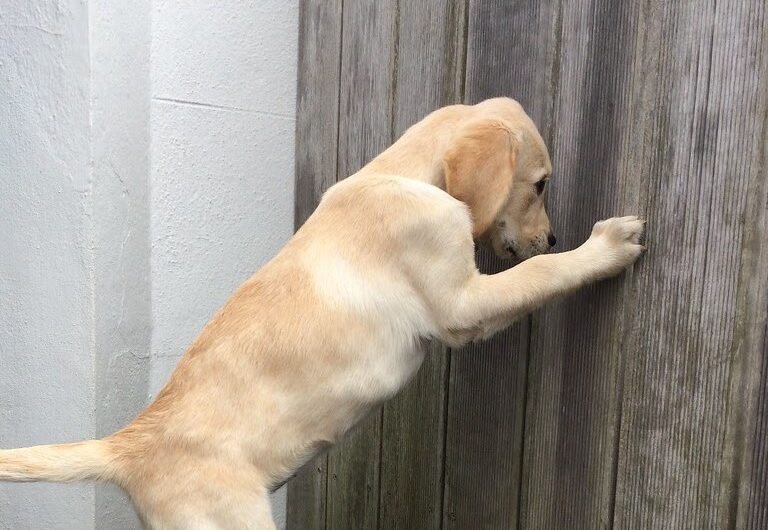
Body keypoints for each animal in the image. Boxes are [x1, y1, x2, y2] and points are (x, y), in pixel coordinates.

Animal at [0, 97, 644, 524]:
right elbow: (539, 275)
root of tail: (127, 444)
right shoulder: (461, 300)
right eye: (540, 185)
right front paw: (605, 247)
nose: (554, 236)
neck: (407, 173)